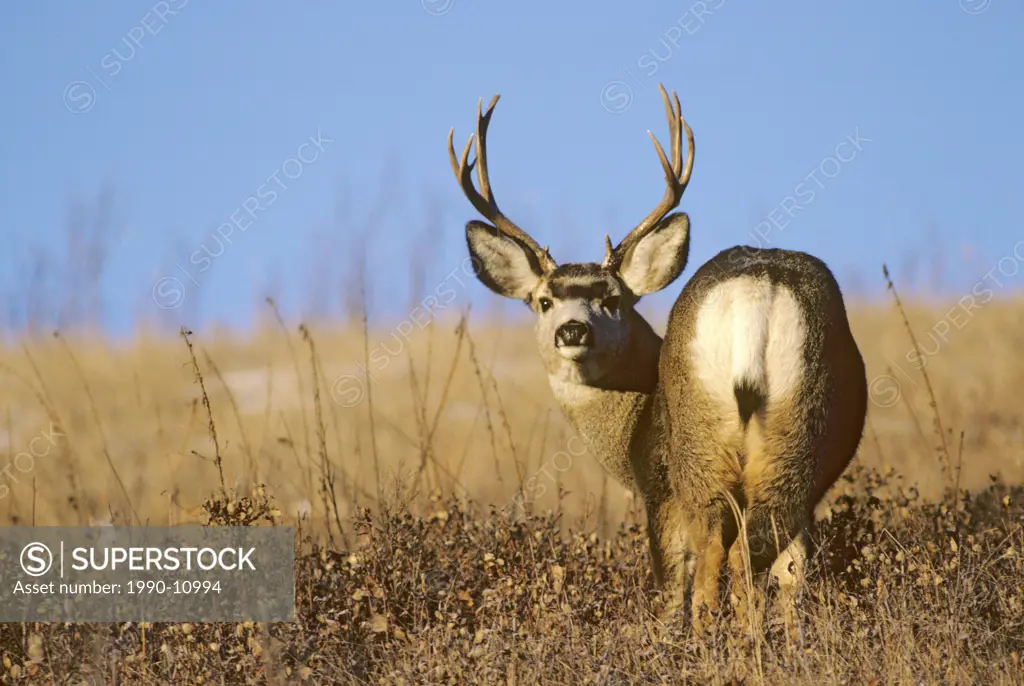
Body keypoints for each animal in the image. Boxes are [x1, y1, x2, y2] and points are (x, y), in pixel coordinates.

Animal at [446, 84, 864, 634]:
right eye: (543, 301)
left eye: (613, 299)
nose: (572, 330)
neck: (631, 425)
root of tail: (758, 289)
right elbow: (793, 577)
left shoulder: (659, 489)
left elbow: (670, 588)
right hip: (796, 436)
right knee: (769, 553)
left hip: (699, 449)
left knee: (718, 559)